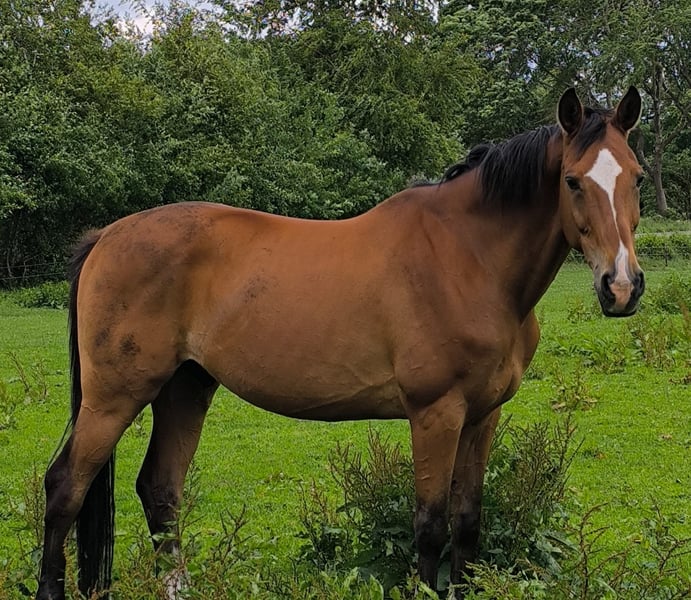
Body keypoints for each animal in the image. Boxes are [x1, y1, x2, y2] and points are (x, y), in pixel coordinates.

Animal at [37, 86, 645, 599]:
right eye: (573, 181)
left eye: (636, 178)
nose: (620, 286)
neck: (468, 259)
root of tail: (106, 237)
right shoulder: (436, 413)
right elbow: (430, 523)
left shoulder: (483, 415)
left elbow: (468, 520)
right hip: (114, 396)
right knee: (66, 485)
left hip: (186, 387)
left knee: (161, 489)